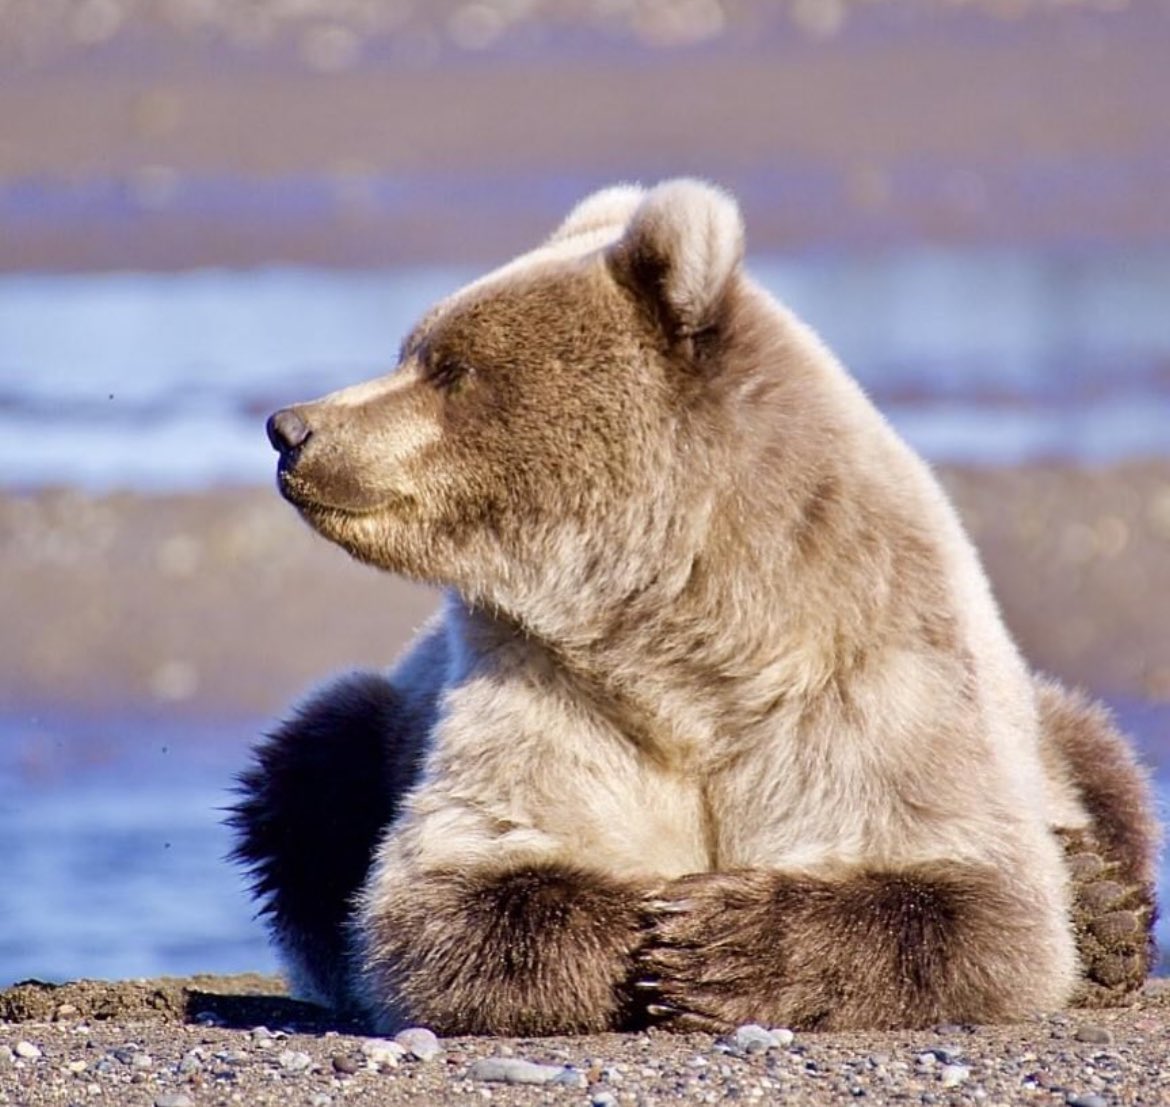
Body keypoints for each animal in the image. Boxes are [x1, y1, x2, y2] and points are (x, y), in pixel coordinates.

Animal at [230, 176, 1160, 1029]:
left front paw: (718, 941)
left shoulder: (871, 684)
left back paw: (1103, 905)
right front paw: (644, 933)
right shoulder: (547, 690)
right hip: (380, 722)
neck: (687, 644)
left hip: (1040, 729)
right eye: (416, 350)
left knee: (1102, 765)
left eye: (450, 367)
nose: (292, 427)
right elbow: (466, 890)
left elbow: (969, 902)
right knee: (311, 765)